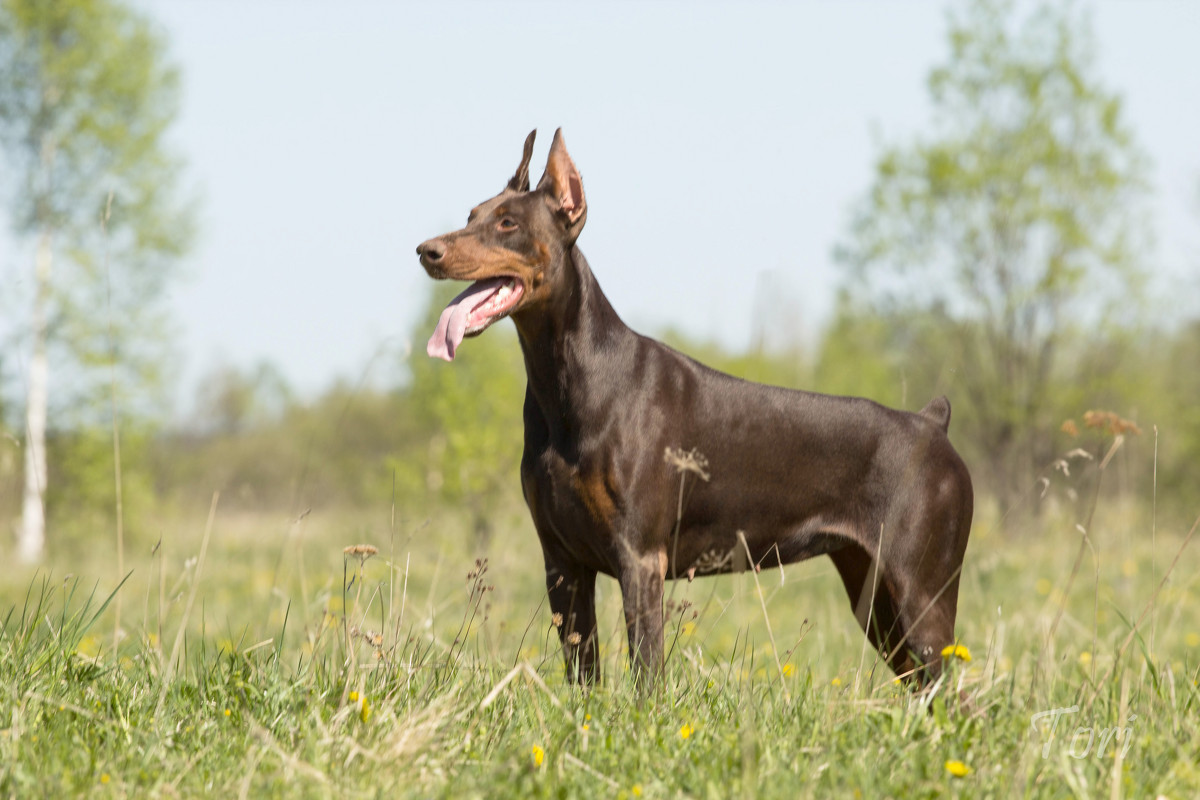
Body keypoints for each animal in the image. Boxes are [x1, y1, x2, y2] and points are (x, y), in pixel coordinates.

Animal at [417, 128, 969, 686]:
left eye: (508, 223)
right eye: (471, 215)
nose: (426, 250)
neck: (568, 383)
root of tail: (933, 423)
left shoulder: (640, 559)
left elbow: (646, 674)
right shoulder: (562, 563)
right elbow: (584, 675)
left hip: (921, 595)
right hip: (873, 598)